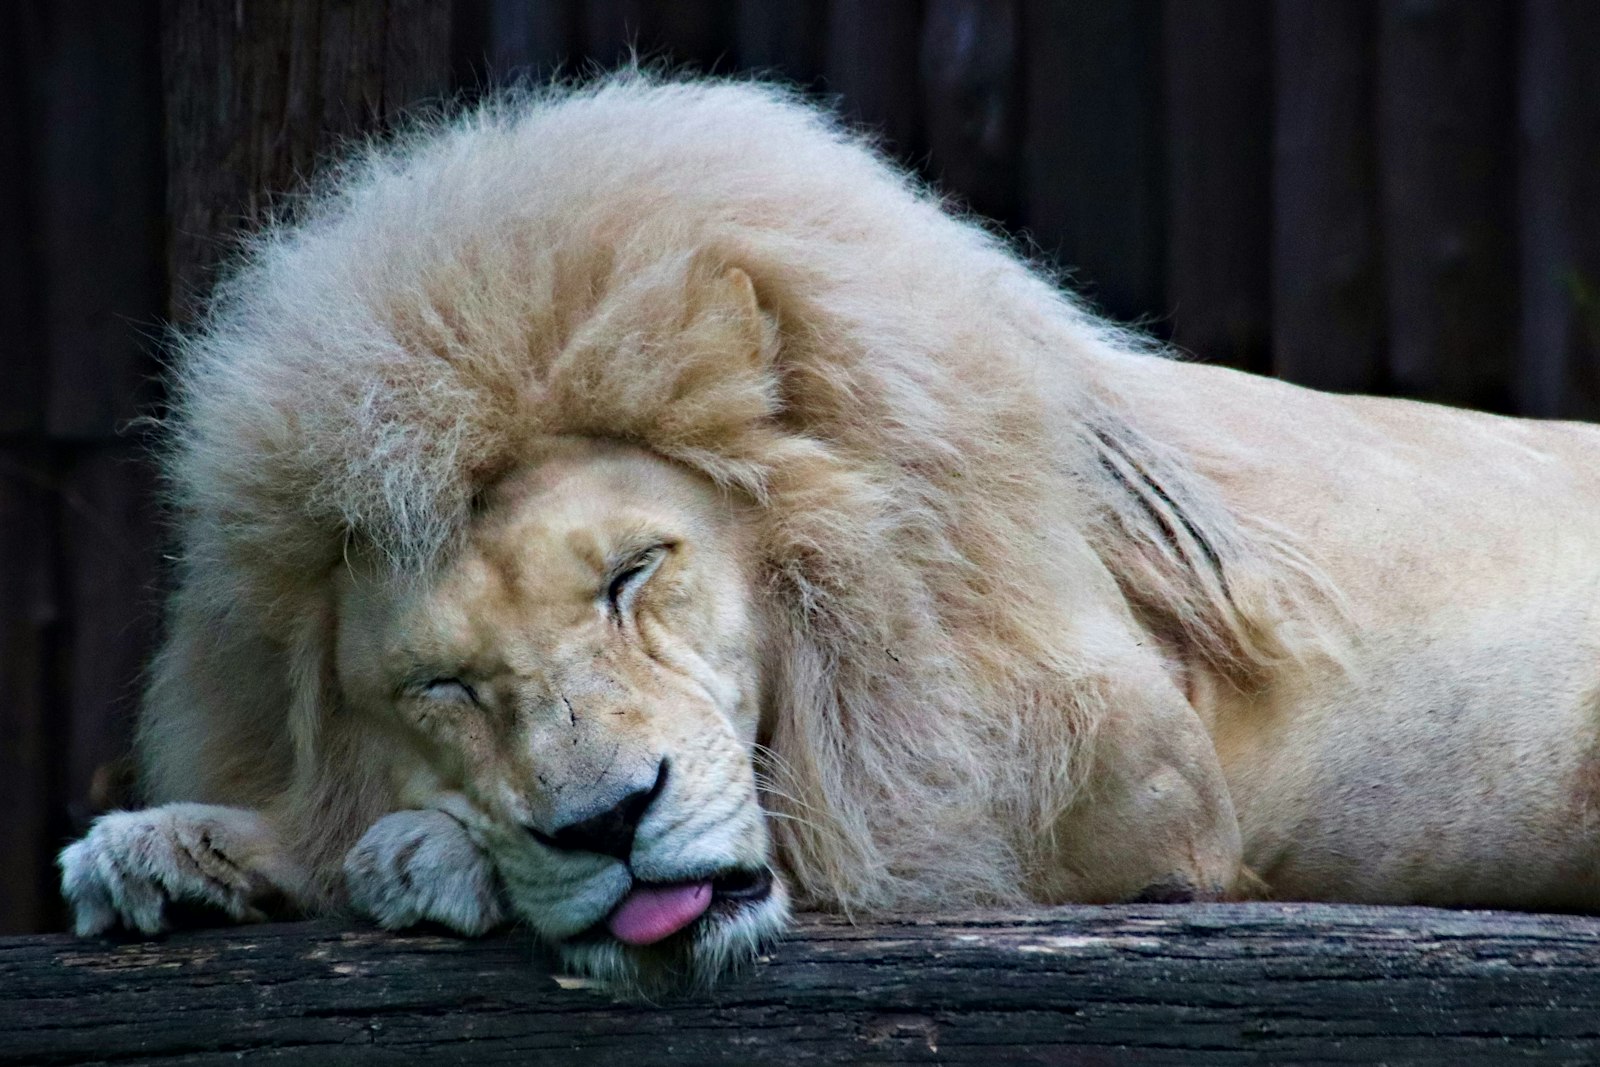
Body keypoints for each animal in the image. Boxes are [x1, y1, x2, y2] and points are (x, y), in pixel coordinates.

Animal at [62, 77, 1600, 991]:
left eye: (633, 573)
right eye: (442, 682)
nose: (605, 823)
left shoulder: (1114, 782)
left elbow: (827, 798)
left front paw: (423, 854)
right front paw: (173, 850)